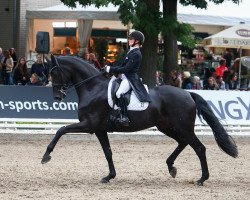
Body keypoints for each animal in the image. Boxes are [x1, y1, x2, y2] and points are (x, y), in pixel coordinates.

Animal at [41, 55, 238, 186]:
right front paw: (109, 176)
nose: (57, 97)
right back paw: (171, 167)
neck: (93, 88)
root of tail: (188, 93)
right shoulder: (100, 129)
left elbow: (61, 130)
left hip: (182, 127)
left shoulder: (89, 125)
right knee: (183, 143)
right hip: (167, 127)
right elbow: (108, 152)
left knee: (199, 148)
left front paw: (46, 156)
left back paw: (201, 179)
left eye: (54, 73)